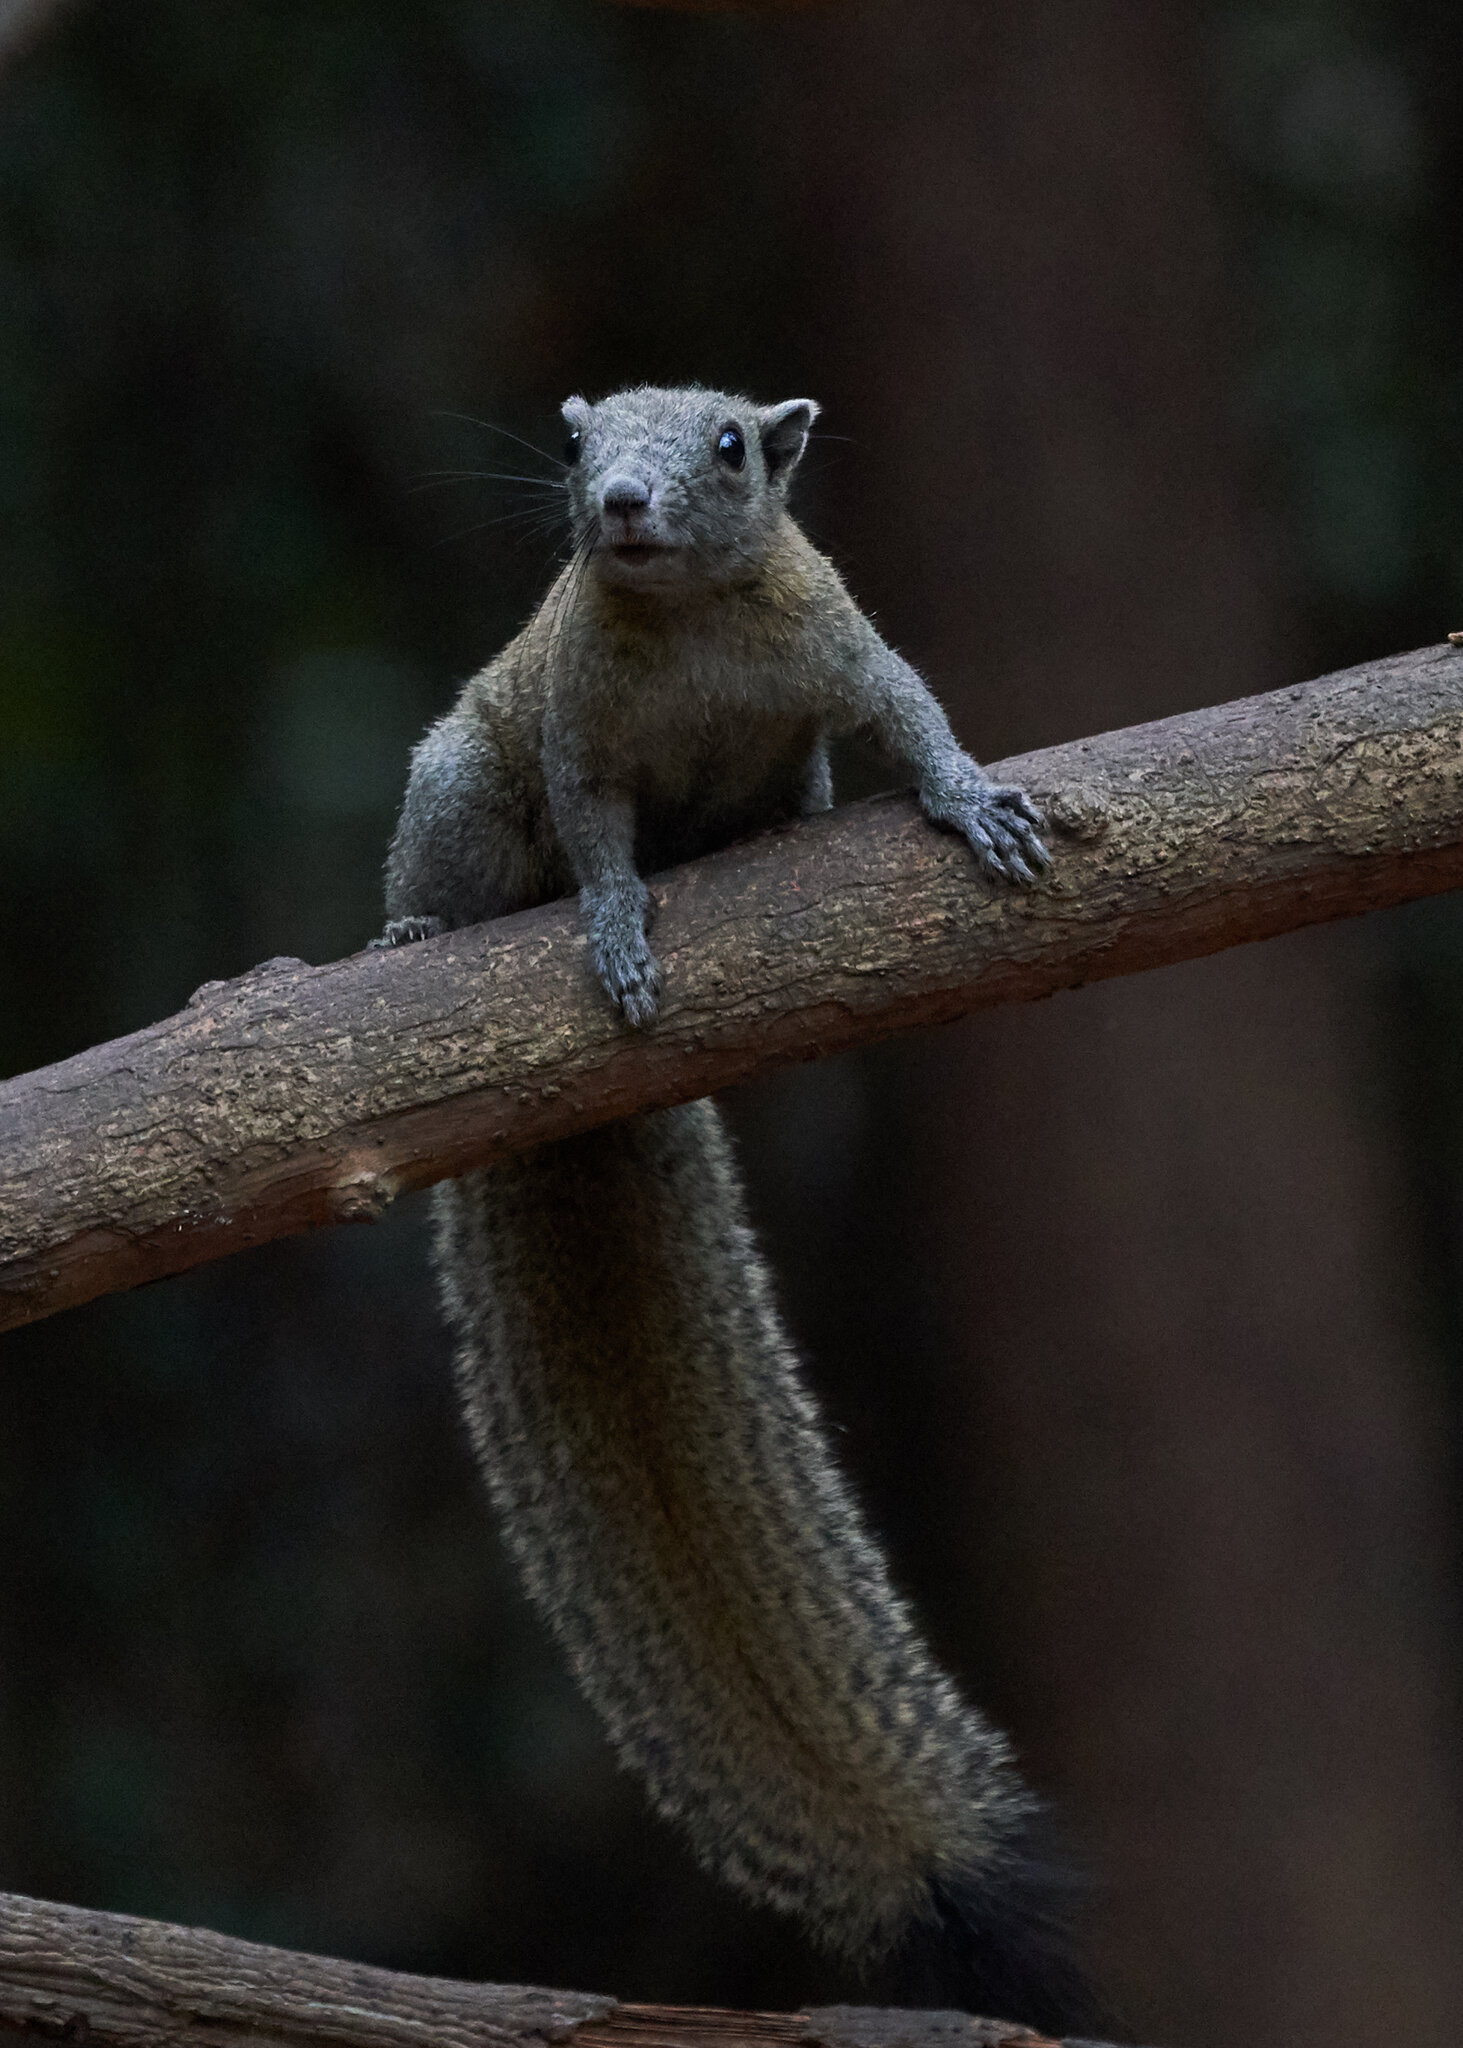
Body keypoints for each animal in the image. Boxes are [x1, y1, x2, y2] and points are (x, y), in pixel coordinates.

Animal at [377, 385, 1098, 2031]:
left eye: (724, 446)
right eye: (576, 446)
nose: (619, 505)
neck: (692, 623)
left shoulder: (841, 648)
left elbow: (912, 717)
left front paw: (970, 804)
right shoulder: (575, 733)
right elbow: (592, 833)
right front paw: (615, 932)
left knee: (803, 788)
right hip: (457, 779)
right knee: (464, 853)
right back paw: (413, 925)